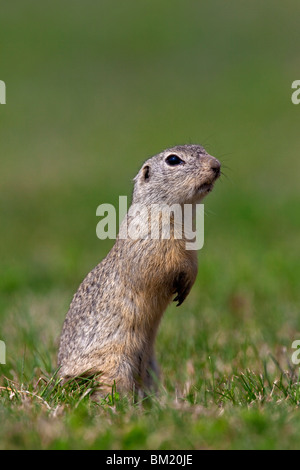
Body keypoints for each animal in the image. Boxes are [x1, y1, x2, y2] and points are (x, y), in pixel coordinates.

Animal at [58, 144, 220, 396]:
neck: (180, 214)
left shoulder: (191, 248)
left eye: (202, 148)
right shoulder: (152, 243)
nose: (217, 165)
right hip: (115, 365)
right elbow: (161, 267)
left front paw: (187, 287)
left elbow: (193, 266)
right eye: (173, 160)